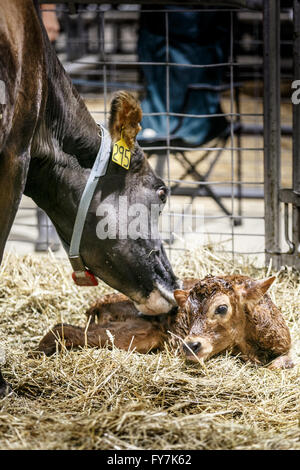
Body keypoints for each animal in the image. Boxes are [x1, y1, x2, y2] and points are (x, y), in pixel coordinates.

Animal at [37, 274, 292, 370]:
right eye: (186, 311)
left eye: (222, 307)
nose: (190, 345)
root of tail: (100, 302)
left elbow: (283, 361)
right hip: (137, 331)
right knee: (64, 329)